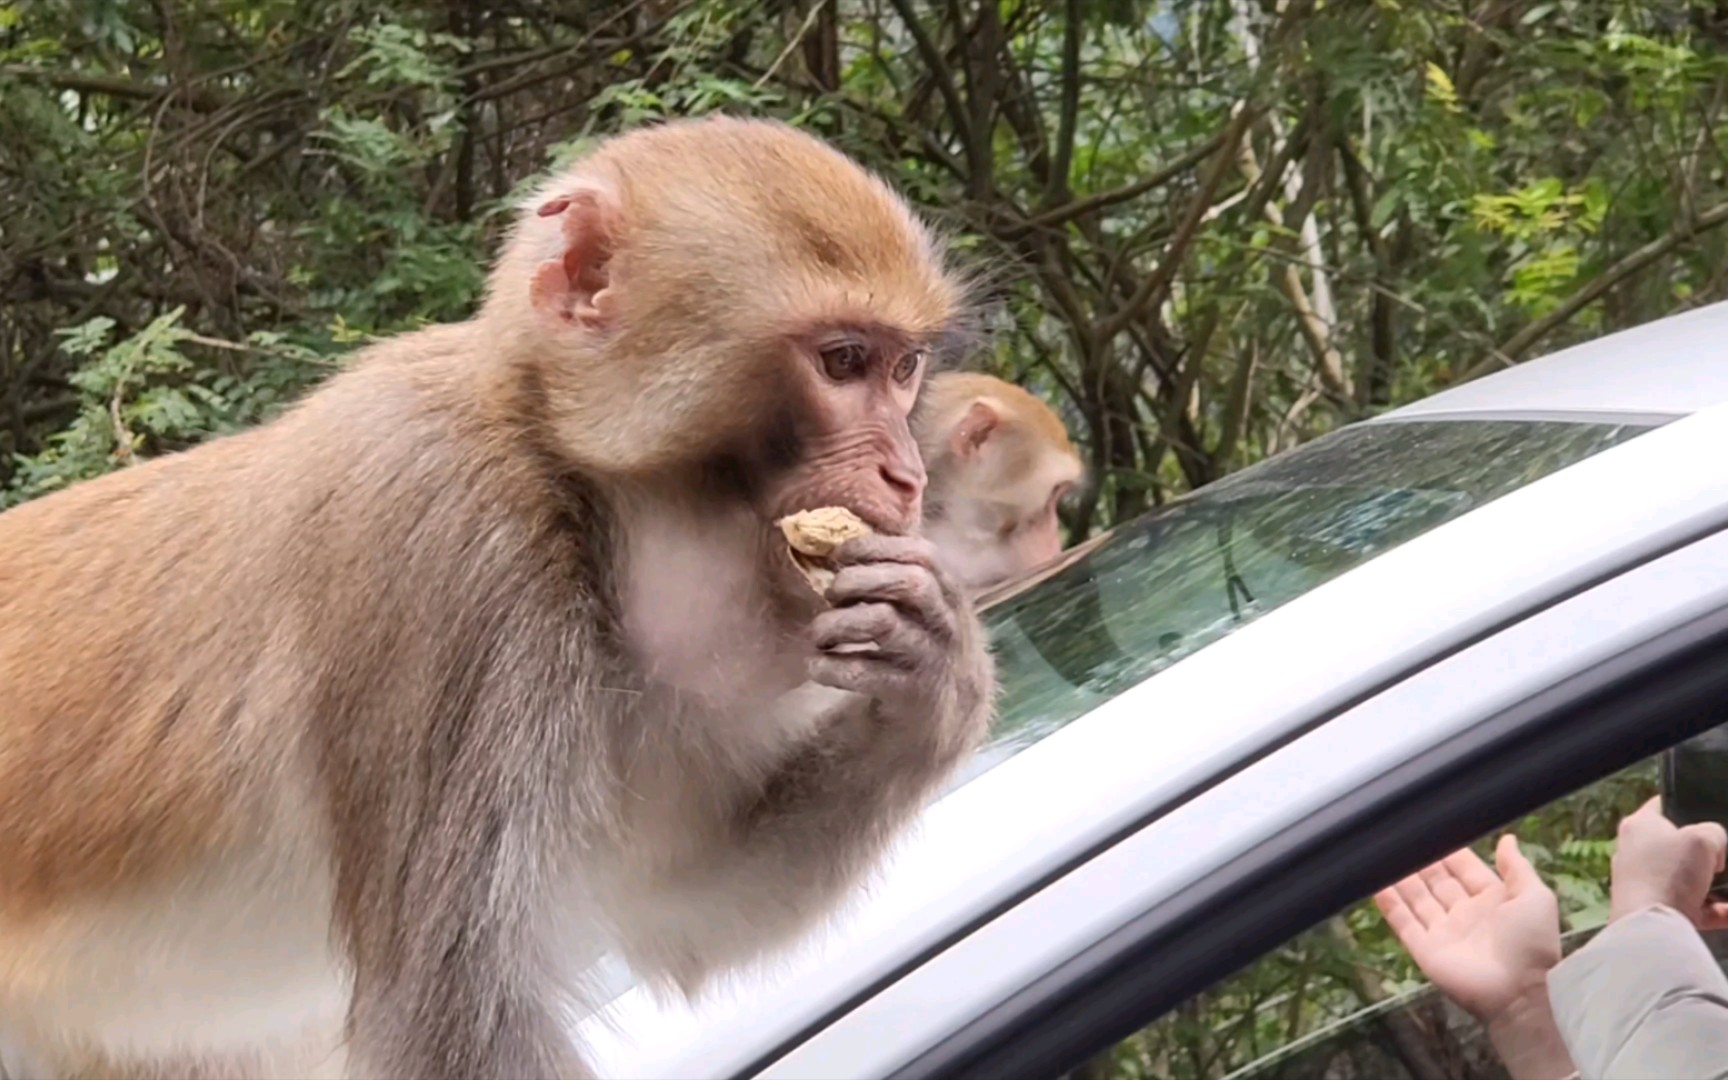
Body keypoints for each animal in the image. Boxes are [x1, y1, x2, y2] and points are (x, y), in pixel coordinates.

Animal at [0, 117, 1002, 1078]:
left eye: (904, 369)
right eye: (842, 361)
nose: (907, 476)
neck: (570, 490)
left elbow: (671, 911)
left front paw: (935, 666)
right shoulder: (452, 555)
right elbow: (449, 1016)